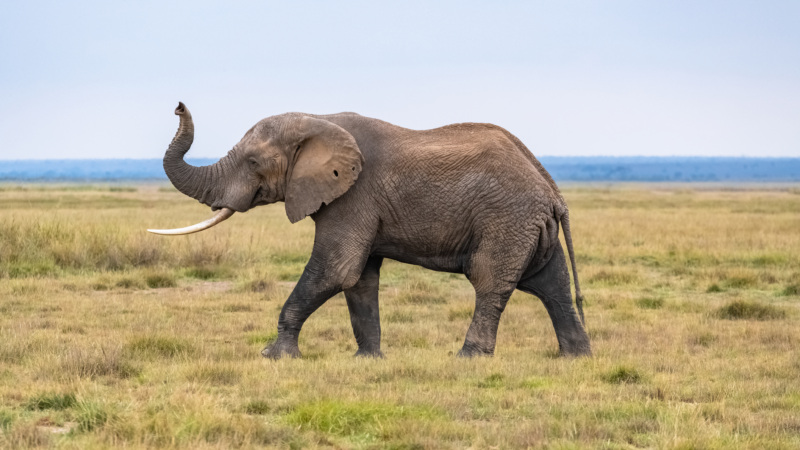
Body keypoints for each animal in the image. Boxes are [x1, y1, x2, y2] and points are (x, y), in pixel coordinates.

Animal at [150, 102, 592, 358]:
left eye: (254, 163)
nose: (178, 106)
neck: (320, 121)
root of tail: (552, 190)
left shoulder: (353, 196)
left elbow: (335, 269)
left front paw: (275, 356)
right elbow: (359, 278)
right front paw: (368, 361)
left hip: (506, 220)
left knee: (490, 282)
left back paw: (468, 358)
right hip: (528, 225)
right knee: (551, 284)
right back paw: (575, 357)